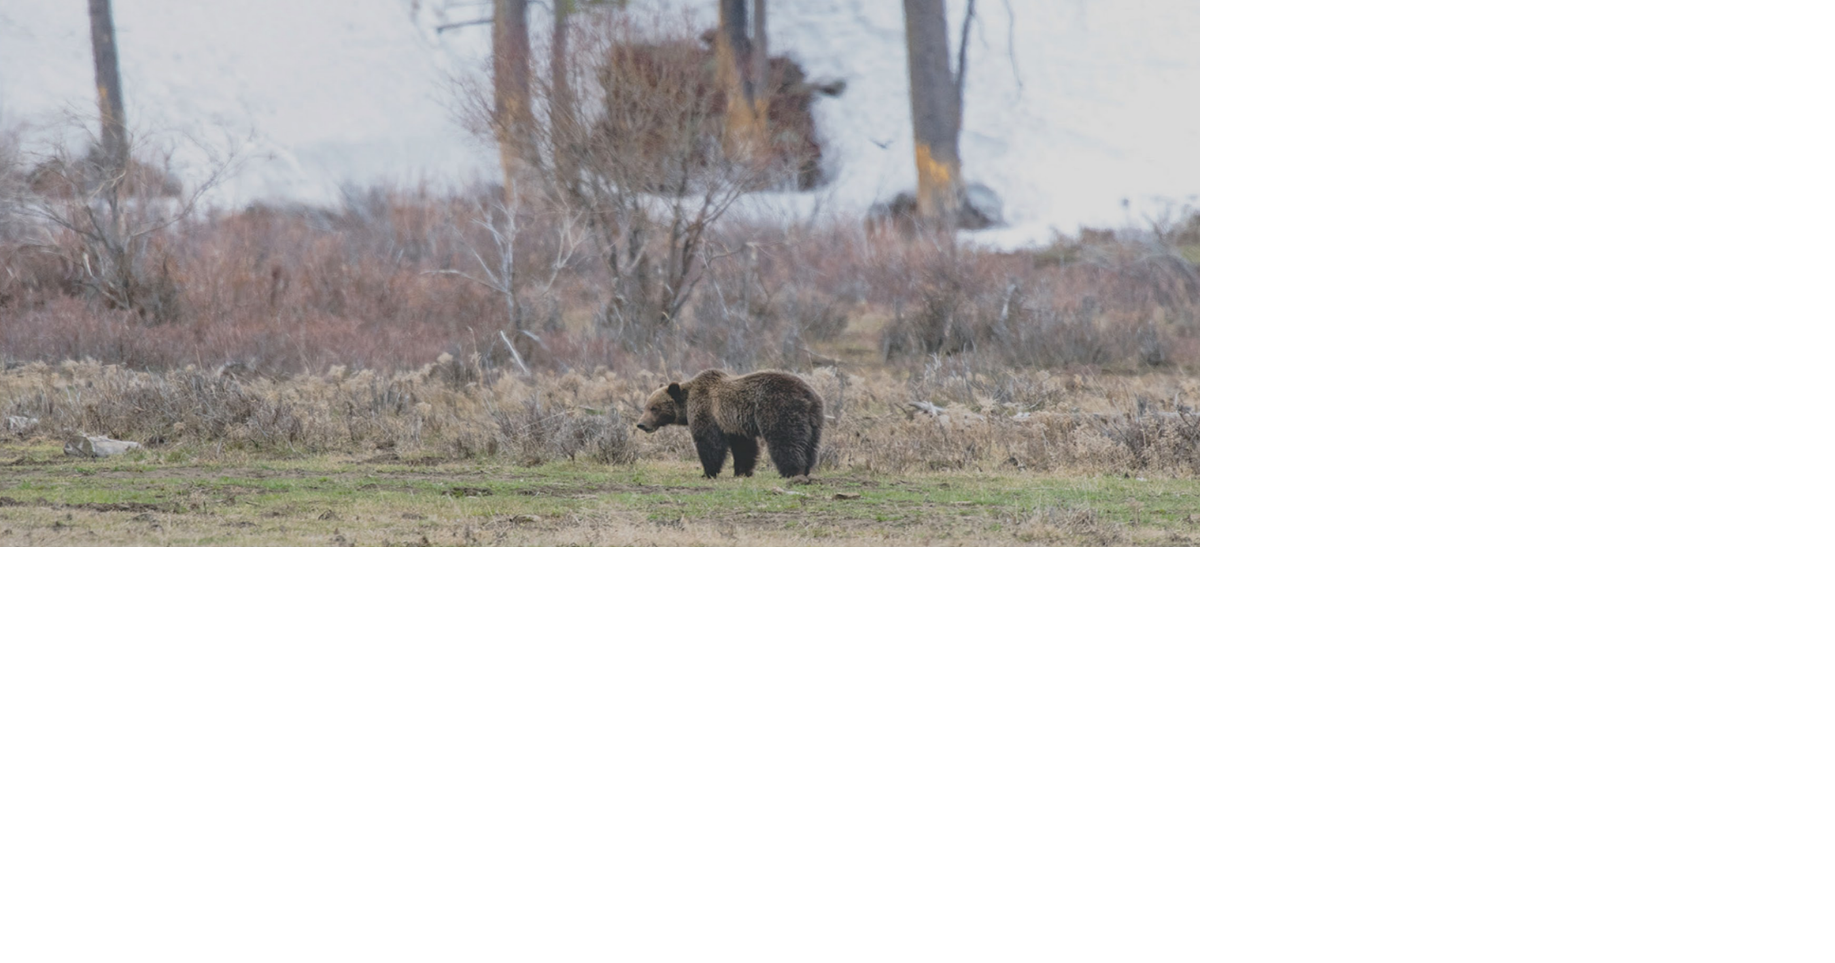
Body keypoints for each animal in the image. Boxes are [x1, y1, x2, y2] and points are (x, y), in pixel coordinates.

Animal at [634, 369, 824, 479]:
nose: (641, 424)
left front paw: (708, 472)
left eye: (654, 408)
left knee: (785, 440)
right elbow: (744, 448)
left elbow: (709, 443)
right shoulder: (734, 425)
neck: (687, 402)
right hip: (814, 419)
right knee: (811, 445)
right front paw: (742, 471)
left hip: (779, 408)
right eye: (646, 405)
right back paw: (807, 469)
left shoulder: (708, 411)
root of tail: (808, 395)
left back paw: (791, 471)